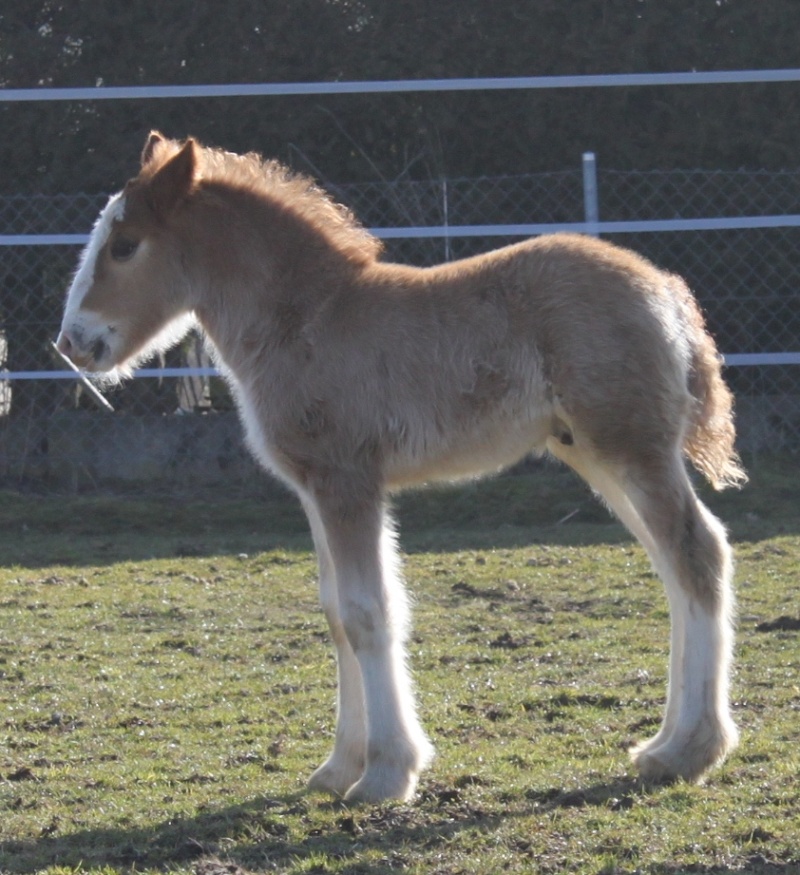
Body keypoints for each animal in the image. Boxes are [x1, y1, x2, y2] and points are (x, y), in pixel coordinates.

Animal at [54, 133, 744, 804]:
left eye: (124, 245)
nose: (71, 343)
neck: (306, 321)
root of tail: (665, 290)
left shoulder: (348, 481)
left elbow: (369, 611)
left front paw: (386, 773)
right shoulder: (313, 489)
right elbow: (336, 613)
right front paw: (338, 768)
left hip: (631, 448)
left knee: (696, 551)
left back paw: (689, 751)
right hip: (594, 452)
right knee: (675, 564)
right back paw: (663, 746)